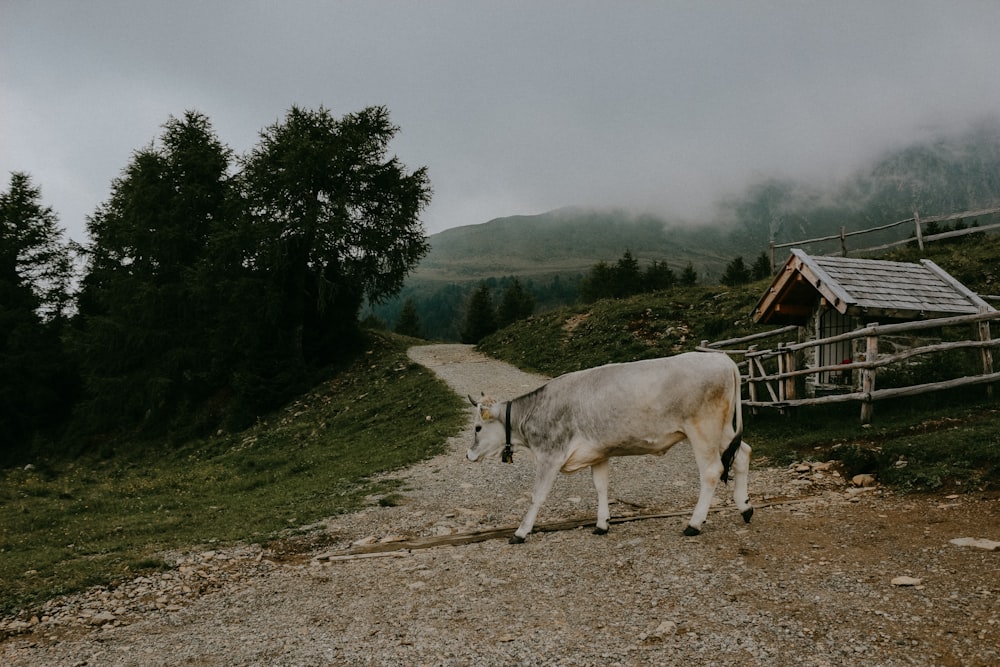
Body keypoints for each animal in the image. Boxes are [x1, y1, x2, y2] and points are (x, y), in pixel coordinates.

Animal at [466, 350, 752, 544]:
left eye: (477, 428)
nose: (468, 454)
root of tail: (722, 359)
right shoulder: (598, 452)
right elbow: (601, 486)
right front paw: (602, 523)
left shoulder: (550, 455)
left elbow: (538, 495)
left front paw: (521, 531)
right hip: (724, 431)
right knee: (742, 455)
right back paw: (745, 507)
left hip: (703, 430)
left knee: (712, 471)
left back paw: (694, 523)